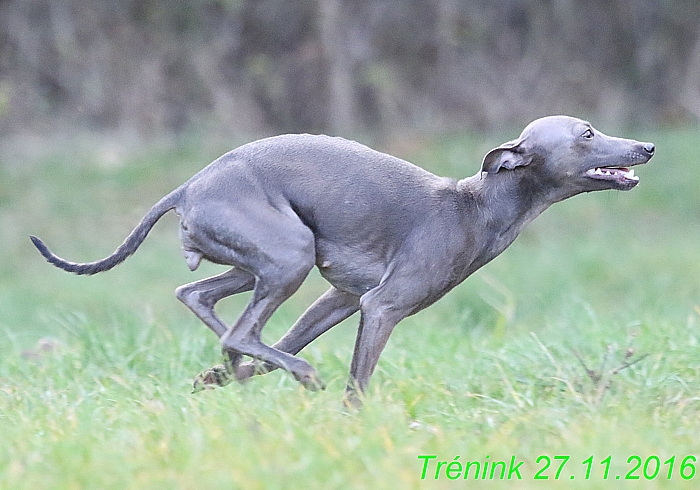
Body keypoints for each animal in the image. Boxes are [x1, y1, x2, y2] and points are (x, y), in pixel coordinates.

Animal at [31, 116, 656, 406]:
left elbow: (284, 344)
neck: (477, 205)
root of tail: (186, 187)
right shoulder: (382, 306)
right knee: (240, 331)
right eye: (587, 132)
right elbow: (358, 382)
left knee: (205, 302)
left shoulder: (343, 297)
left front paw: (219, 379)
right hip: (288, 256)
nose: (647, 146)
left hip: (262, 265)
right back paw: (293, 374)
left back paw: (233, 368)